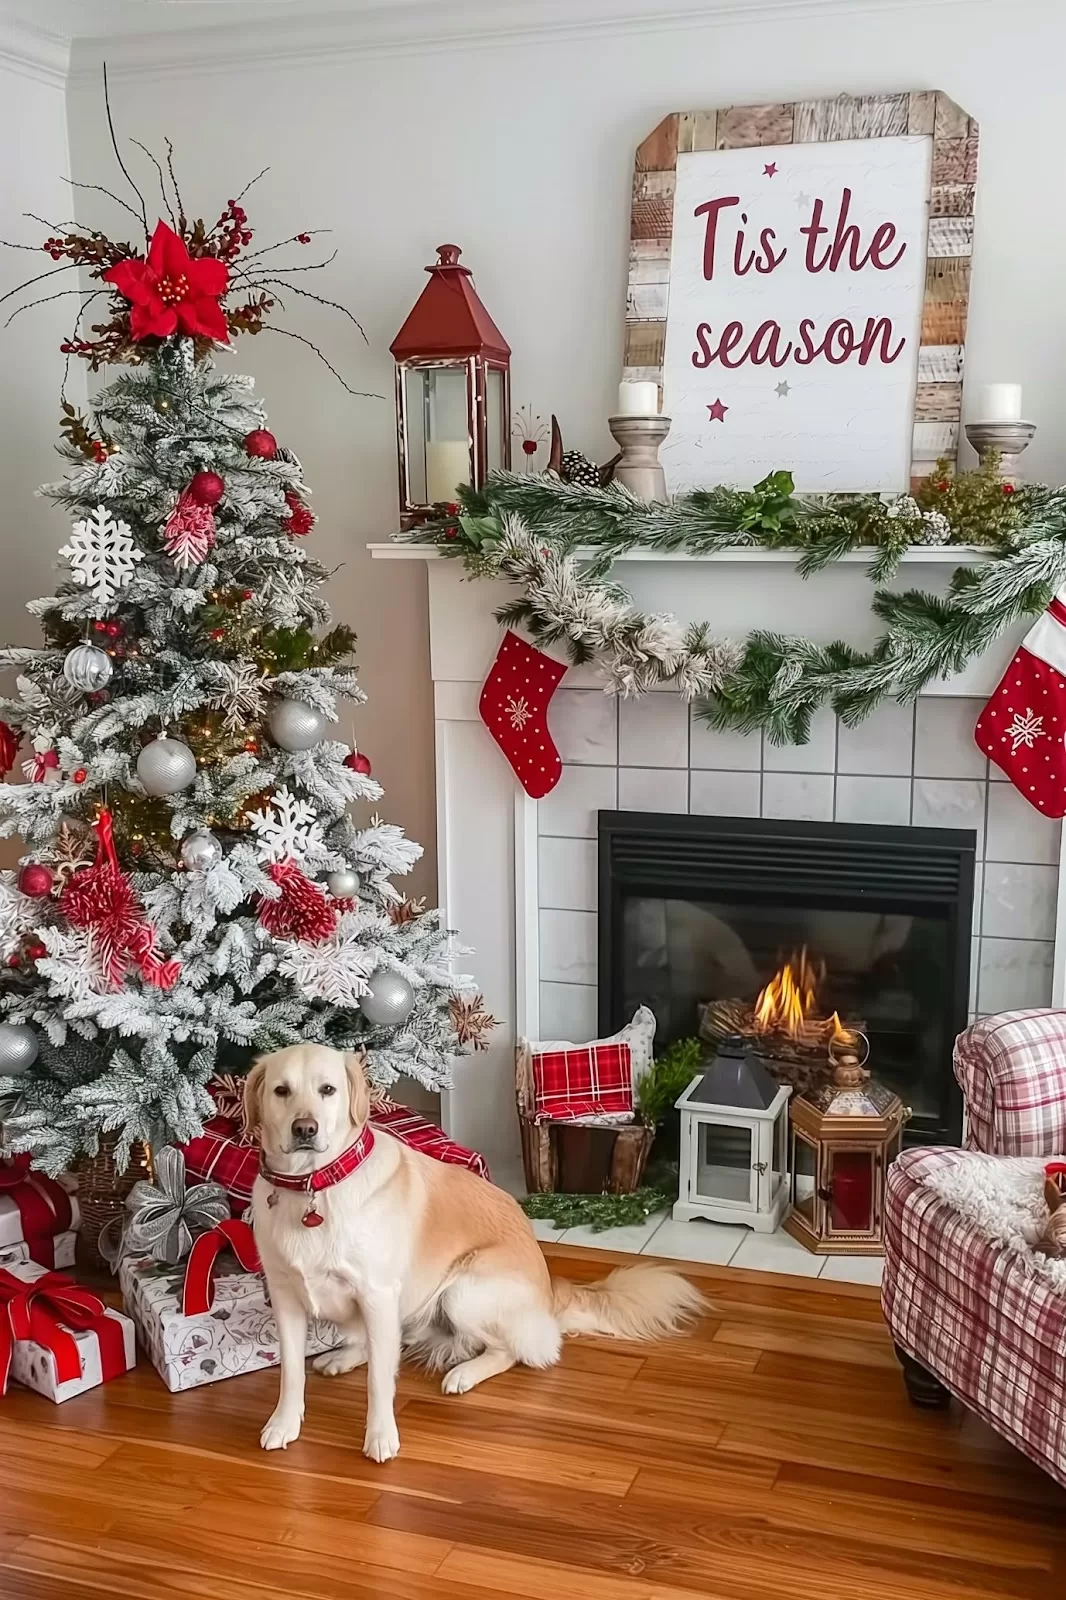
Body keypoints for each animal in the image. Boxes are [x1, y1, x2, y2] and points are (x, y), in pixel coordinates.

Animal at [244, 1043, 701, 1459]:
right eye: (282, 1091)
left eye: (328, 1090)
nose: (305, 1129)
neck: (312, 1187)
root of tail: (550, 1294)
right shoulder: (285, 1296)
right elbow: (292, 1372)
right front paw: (284, 1423)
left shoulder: (377, 1294)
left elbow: (379, 1382)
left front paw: (380, 1437)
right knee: (393, 1343)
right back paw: (344, 1357)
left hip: (462, 1291)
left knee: (513, 1351)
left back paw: (464, 1373)